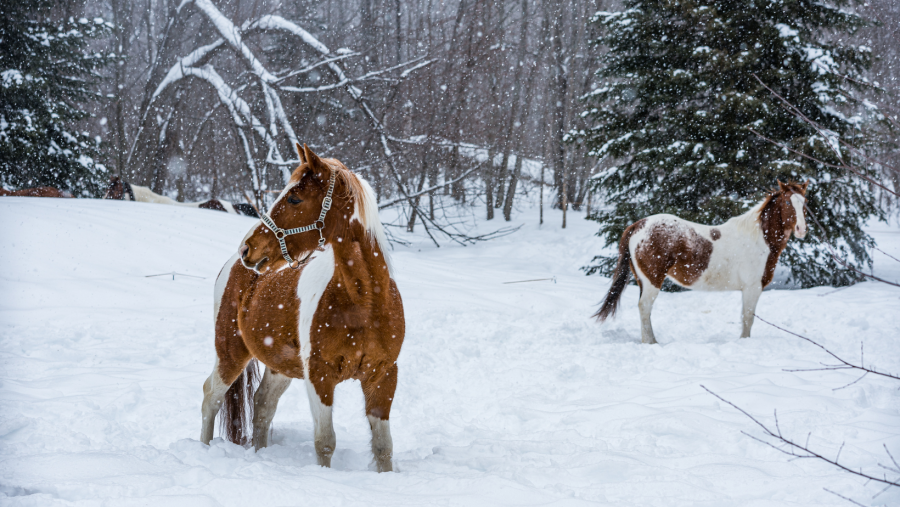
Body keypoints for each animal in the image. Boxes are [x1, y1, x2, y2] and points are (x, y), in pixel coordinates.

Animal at [200, 144, 404, 473]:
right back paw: (203, 450)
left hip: (279, 365)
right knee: (211, 398)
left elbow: (384, 447)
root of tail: (233, 266)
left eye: (294, 198)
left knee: (263, 405)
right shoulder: (320, 376)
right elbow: (325, 441)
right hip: (230, 352)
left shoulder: (383, 375)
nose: (248, 248)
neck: (365, 304)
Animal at [595, 181, 809, 344]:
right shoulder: (752, 288)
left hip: (642, 281)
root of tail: (637, 226)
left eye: (804, 203)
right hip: (652, 281)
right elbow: (748, 318)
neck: (757, 239)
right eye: (788, 201)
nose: (801, 229)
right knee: (645, 307)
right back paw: (651, 343)